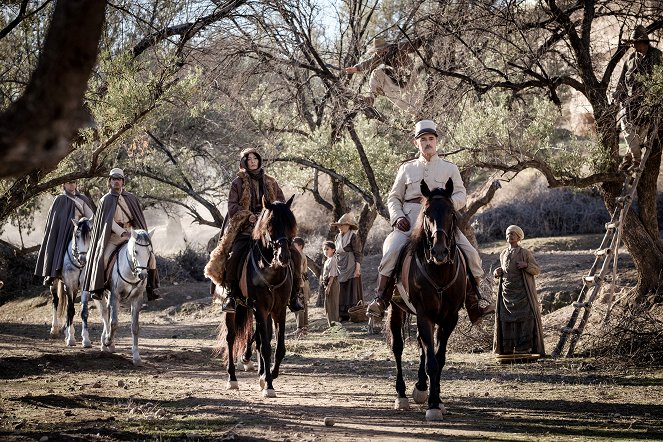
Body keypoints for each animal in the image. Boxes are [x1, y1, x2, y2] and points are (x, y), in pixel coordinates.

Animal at [49, 216, 92, 348]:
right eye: (77, 235)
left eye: (90, 236)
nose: (83, 259)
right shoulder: (69, 285)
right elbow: (71, 310)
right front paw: (71, 339)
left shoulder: (83, 287)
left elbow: (83, 311)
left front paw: (86, 340)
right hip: (55, 283)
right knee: (56, 301)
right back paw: (54, 329)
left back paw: (66, 332)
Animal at [94, 228, 155, 366]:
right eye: (136, 251)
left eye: (149, 252)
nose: (142, 275)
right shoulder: (115, 295)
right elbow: (114, 322)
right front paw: (108, 340)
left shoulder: (137, 299)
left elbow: (135, 327)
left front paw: (136, 357)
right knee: (104, 313)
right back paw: (105, 342)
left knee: (107, 311)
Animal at [220, 193, 298, 398]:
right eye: (270, 225)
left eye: (290, 224)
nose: (284, 257)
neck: (271, 270)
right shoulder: (260, 308)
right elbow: (265, 347)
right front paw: (268, 385)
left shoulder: (278, 310)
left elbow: (278, 347)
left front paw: (269, 375)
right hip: (233, 309)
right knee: (231, 338)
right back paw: (232, 378)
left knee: (261, 337)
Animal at [390, 178, 466, 420]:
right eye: (427, 213)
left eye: (451, 213)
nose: (439, 252)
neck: (439, 271)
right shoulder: (424, 314)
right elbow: (432, 360)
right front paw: (432, 405)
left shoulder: (449, 318)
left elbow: (438, 359)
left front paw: (437, 400)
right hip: (396, 309)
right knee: (398, 347)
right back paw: (402, 395)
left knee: (423, 346)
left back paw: (421, 387)